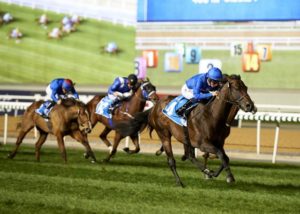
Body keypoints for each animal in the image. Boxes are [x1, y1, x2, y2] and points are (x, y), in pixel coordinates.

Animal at [116, 74, 256, 186]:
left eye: (246, 88)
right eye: (236, 88)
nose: (250, 106)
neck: (211, 115)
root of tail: (154, 107)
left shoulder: (218, 143)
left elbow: (225, 158)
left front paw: (212, 173)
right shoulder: (203, 144)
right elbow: (221, 155)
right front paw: (230, 177)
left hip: (185, 137)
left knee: (190, 156)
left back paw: (206, 171)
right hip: (164, 134)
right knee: (171, 160)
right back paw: (179, 182)